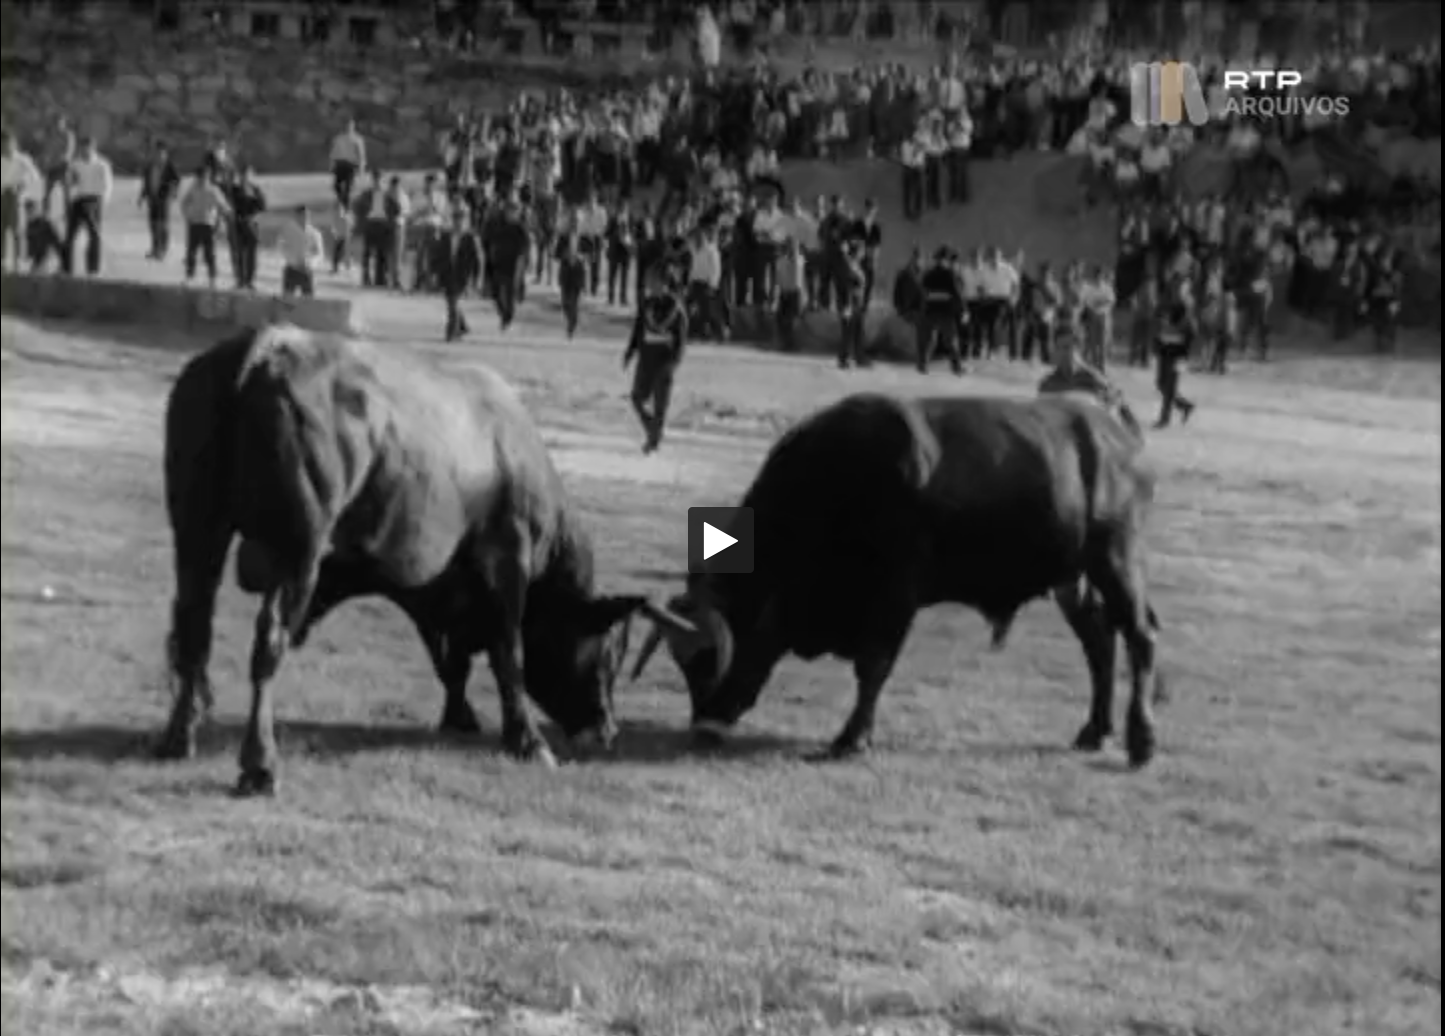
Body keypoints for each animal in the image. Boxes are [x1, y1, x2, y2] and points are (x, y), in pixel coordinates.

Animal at [156, 323, 693, 791]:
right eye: (609, 654)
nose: (607, 731)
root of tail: (266, 346)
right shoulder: (506, 563)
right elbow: (508, 654)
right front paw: (527, 739)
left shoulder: (426, 583)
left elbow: (451, 660)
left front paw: (460, 714)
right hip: (297, 550)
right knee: (267, 642)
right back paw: (260, 763)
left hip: (197, 533)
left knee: (193, 629)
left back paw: (179, 735)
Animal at [632, 393, 1161, 768]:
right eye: (681, 663)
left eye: (706, 658)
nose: (704, 729)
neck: (838, 481)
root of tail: (1117, 432)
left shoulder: (894, 597)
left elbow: (873, 668)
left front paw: (851, 739)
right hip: (1074, 578)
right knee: (1099, 641)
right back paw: (1095, 730)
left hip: (1115, 558)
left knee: (1140, 637)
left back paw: (1141, 741)